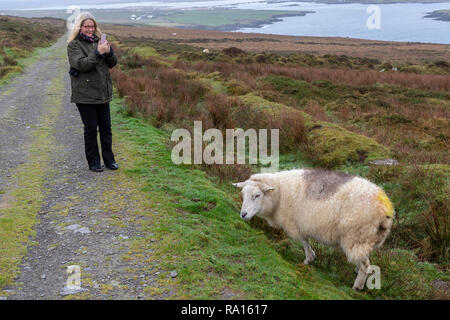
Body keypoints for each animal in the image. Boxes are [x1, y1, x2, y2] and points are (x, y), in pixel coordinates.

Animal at [232, 169, 394, 292]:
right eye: (243, 194)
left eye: (257, 195)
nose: (243, 214)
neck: (280, 193)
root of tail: (385, 207)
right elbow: (306, 240)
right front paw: (312, 257)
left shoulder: (296, 224)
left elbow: (304, 240)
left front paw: (309, 259)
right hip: (366, 238)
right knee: (364, 257)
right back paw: (357, 270)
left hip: (355, 236)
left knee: (365, 263)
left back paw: (357, 285)